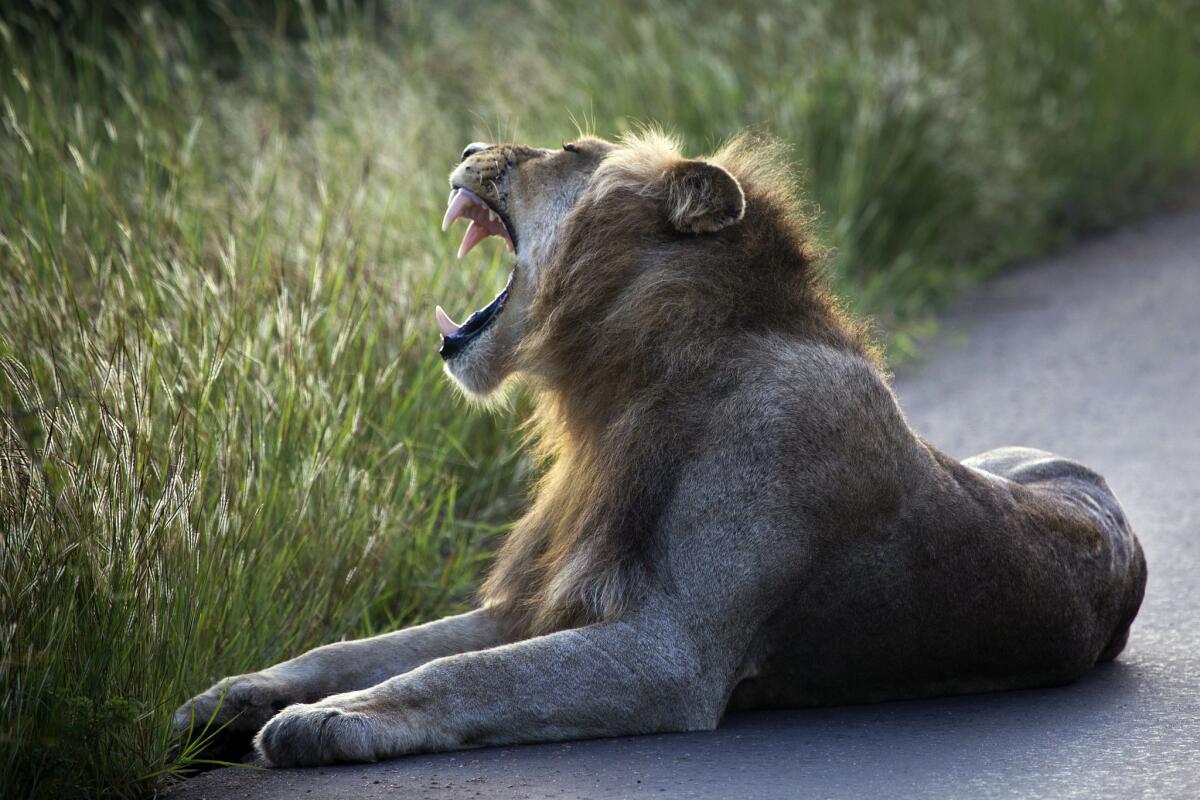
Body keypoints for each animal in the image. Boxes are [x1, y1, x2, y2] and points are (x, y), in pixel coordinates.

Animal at [174, 128, 1147, 767]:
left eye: (568, 151)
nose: (470, 143)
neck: (616, 390)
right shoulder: (539, 600)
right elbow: (370, 645)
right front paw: (229, 697)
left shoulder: (667, 653)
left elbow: (463, 675)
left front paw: (327, 720)